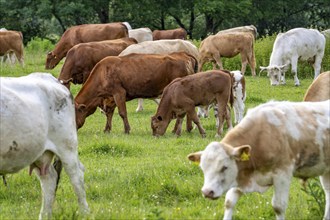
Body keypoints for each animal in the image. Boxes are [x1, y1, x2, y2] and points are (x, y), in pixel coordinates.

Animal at [0, 72, 89, 220]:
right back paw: (45, 215)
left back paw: (85, 213)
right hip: (39, 152)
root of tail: (52, 79)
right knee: (49, 180)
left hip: (67, 146)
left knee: (77, 177)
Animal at [188, 100, 330, 220]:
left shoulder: (282, 174)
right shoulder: (240, 175)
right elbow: (229, 202)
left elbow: (278, 206)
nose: (207, 192)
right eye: (202, 168)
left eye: (224, 167)